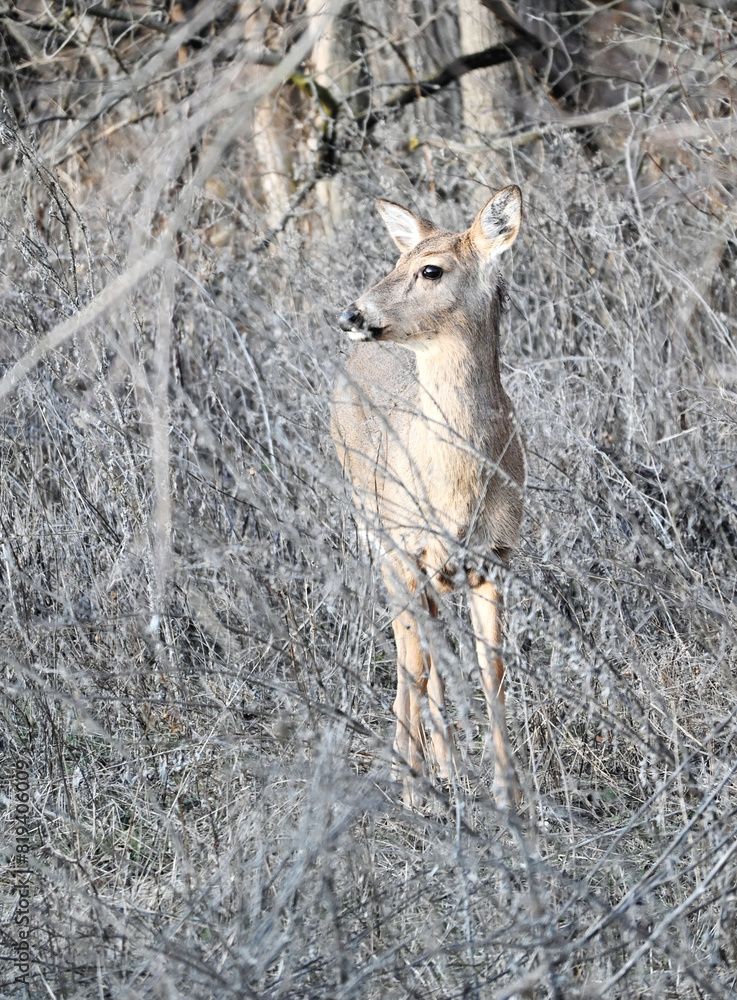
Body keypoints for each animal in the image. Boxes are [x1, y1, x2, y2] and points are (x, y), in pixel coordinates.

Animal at [331, 186, 525, 809]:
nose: (351, 314)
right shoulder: (406, 548)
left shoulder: (497, 557)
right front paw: (413, 786)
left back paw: (446, 766)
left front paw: (509, 794)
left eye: (430, 269)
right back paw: (413, 766)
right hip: (375, 531)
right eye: (397, 260)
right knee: (405, 648)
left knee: (431, 649)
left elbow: (492, 672)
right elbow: (414, 662)